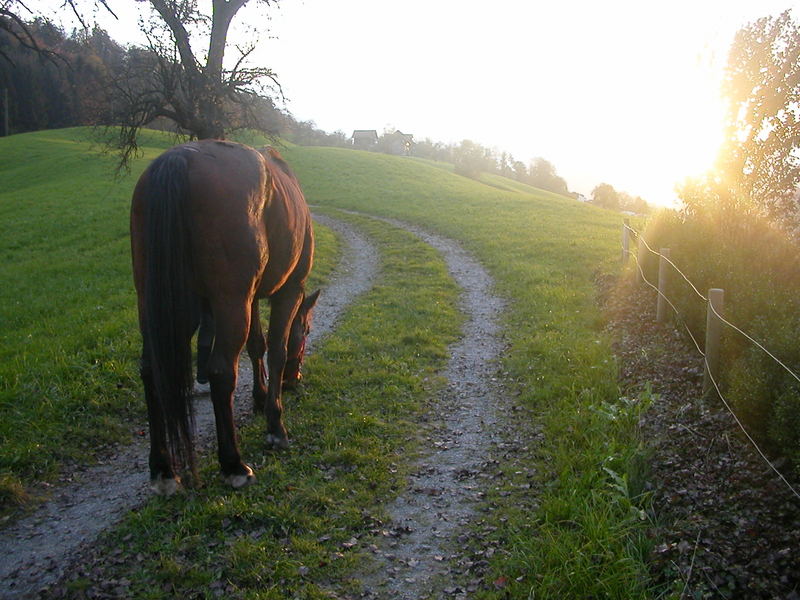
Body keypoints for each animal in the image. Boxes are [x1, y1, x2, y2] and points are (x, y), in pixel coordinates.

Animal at [131, 141, 318, 496]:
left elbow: (257, 345)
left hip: (156, 302)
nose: (295, 379)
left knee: (150, 370)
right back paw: (233, 464)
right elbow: (276, 350)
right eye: (308, 330)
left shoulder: (251, 297)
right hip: (230, 303)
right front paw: (275, 424)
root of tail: (181, 157)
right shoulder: (288, 290)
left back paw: (163, 468)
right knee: (221, 371)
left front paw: (260, 397)